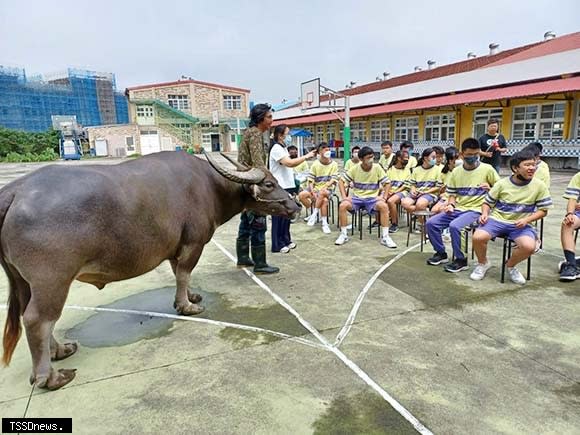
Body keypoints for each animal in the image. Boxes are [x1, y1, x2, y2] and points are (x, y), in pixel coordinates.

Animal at [0, 152, 300, 390]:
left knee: (32, 314)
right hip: (52, 280)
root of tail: (15, 190)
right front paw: (187, 307)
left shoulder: (176, 247)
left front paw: (190, 297)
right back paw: (51, 376)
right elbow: (184, 272)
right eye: (270, 184)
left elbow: (180, 274)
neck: (210, 186)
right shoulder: (193, 243)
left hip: (23, 280)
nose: (296, 204)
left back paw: (60, 350)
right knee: (38, 319)